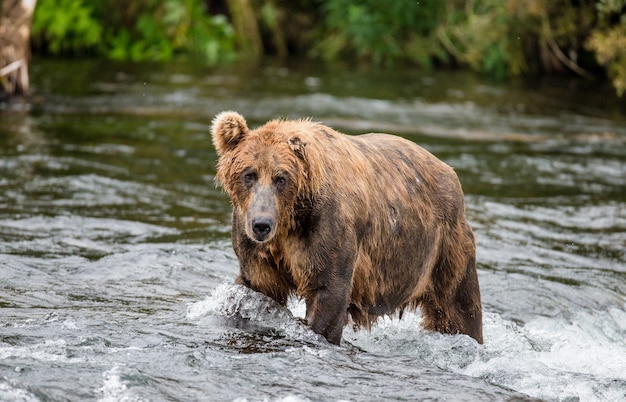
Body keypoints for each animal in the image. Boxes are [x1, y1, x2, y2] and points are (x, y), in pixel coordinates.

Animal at [211, 111, 482, 344]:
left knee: (458, 310)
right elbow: (257, 289)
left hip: (445, 250)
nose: (261, 225)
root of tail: (450, 172)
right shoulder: (257, 248)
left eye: (281, 178)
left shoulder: (328, 229)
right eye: (249, 174)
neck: (291, 220)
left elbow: (327, 293)